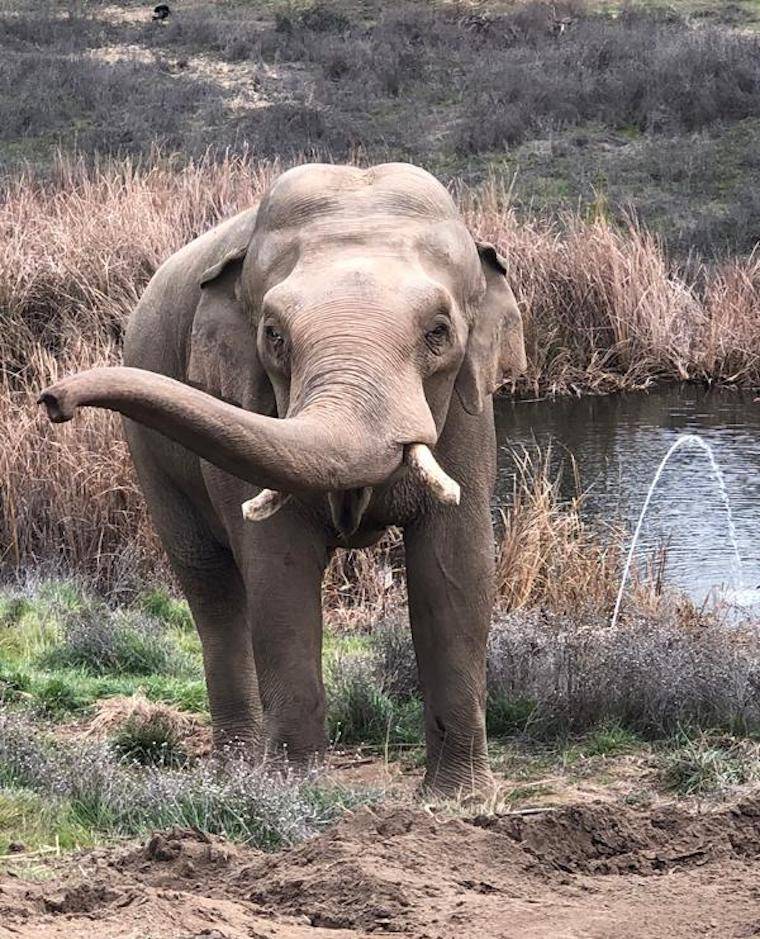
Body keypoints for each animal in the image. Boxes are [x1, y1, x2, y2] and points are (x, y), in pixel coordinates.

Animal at [39, 162, 527, 795]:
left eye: (438, 332)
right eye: (273, 334)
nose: (53, 401)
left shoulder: (472, 416)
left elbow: (456, 573)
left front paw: (459, 798)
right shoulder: (238, 399)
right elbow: (279, 574)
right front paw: (294, 794)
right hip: (150, 459)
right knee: (211, 588)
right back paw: (236, 768)